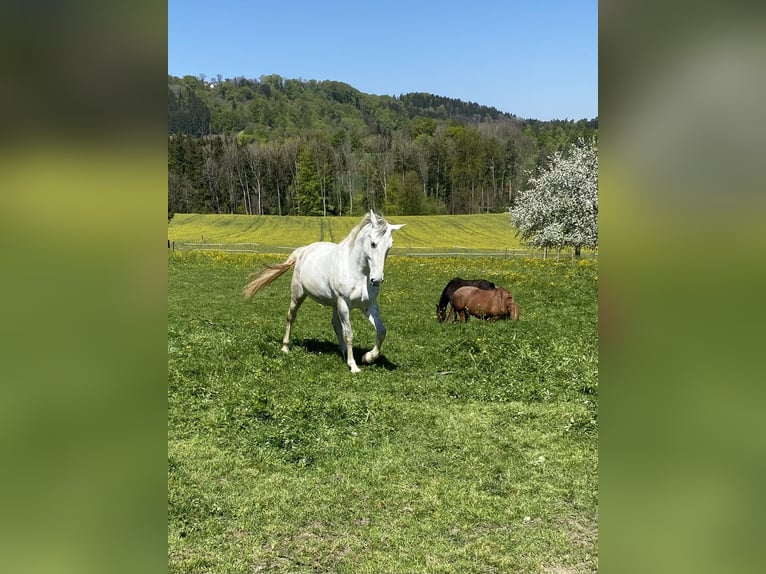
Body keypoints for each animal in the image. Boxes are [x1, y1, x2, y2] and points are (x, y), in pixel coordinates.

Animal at [242, 211, 405, 372]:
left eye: (389, 246)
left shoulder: (369, 305)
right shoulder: (344, 303)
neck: (358, 272)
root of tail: (303, 250)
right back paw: (285, 347)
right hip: (298, 296)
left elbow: (381, 331)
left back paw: (343, 352)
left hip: (334, 304)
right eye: (373, 244)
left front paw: (368, 357)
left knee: (336, 324)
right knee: (291, 317)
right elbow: (349, 334)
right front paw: (354, 366)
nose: (376, 280)